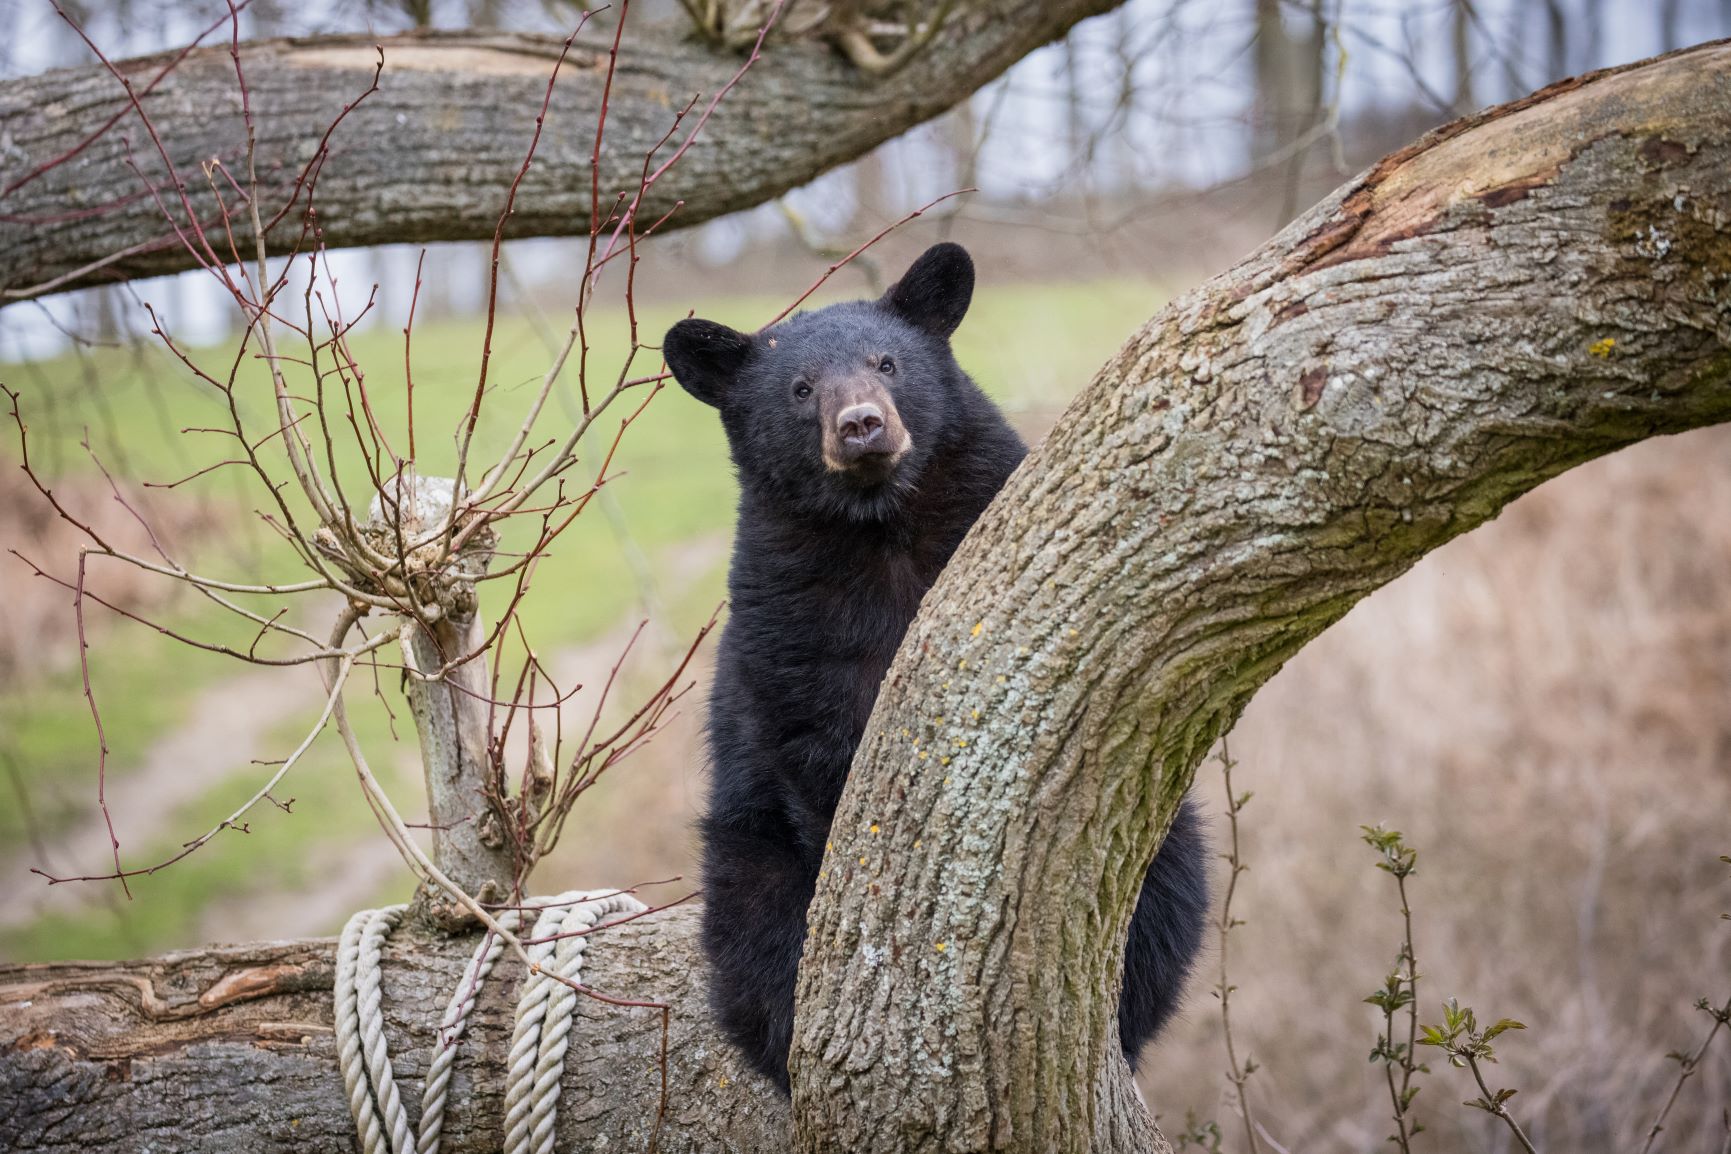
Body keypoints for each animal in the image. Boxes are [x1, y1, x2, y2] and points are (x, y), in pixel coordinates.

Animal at [661, 242, 1204, 1093]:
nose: (861, 424)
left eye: (886, 363)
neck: (879, 525)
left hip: (1168, 845)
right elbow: (812, 736)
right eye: (799, 388)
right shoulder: (785, 608)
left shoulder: (986, 508)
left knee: (1164, 913)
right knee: (752, 940)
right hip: (742, 854)